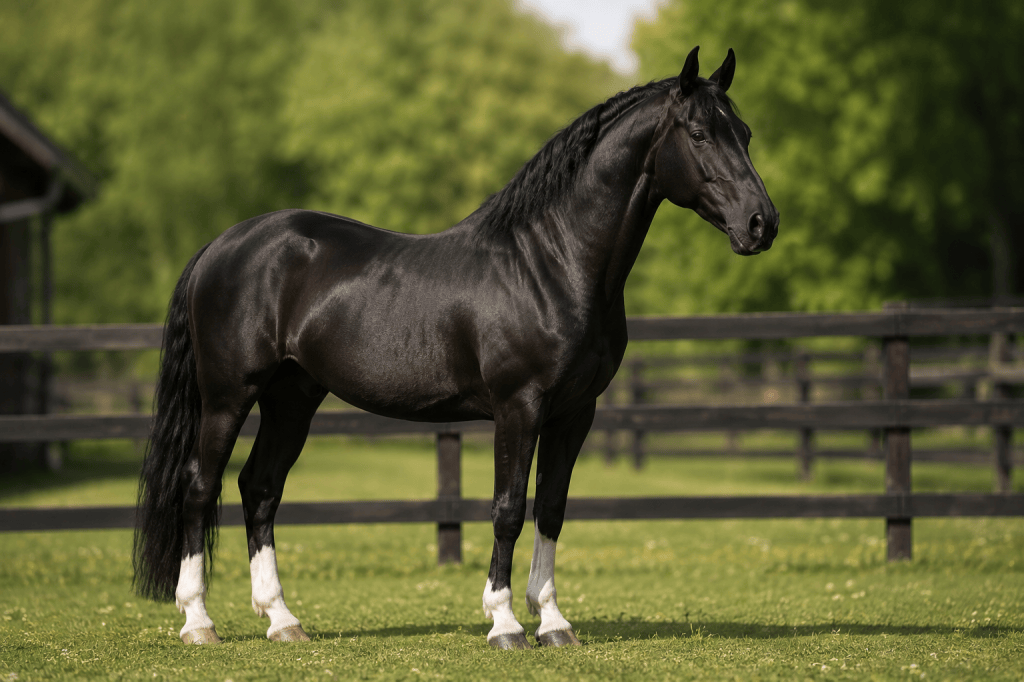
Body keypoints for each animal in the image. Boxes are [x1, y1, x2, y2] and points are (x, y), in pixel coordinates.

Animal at [132, 46, 778, 650]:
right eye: (699, 134)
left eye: (745, 133)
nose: (761, 224)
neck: (552, 261)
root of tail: (222, 246)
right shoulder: (519, 407)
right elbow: (507, 509)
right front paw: (505, 624)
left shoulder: (575, 413)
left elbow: (552, 507)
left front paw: (554, 623)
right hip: (228, 396)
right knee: (200, 486)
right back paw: (198, 621)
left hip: (292, 397)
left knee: (260, 489)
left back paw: (283, 620)